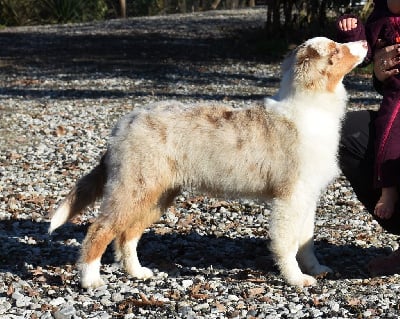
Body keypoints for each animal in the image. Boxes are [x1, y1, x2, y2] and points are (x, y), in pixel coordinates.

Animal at [48, 36, 368, 288]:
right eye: (337, 49)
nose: (365, 41)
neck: (311, 108)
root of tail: (124, 123)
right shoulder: (290, 197)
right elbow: (287, 242)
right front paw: (296, 279)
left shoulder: (308, 195)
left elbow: (307, 239)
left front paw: (316, 269)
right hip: (132, 188)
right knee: (100, 229)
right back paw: (90, 280)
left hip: (156, 194)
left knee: (127, 234)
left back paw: (137, 273)